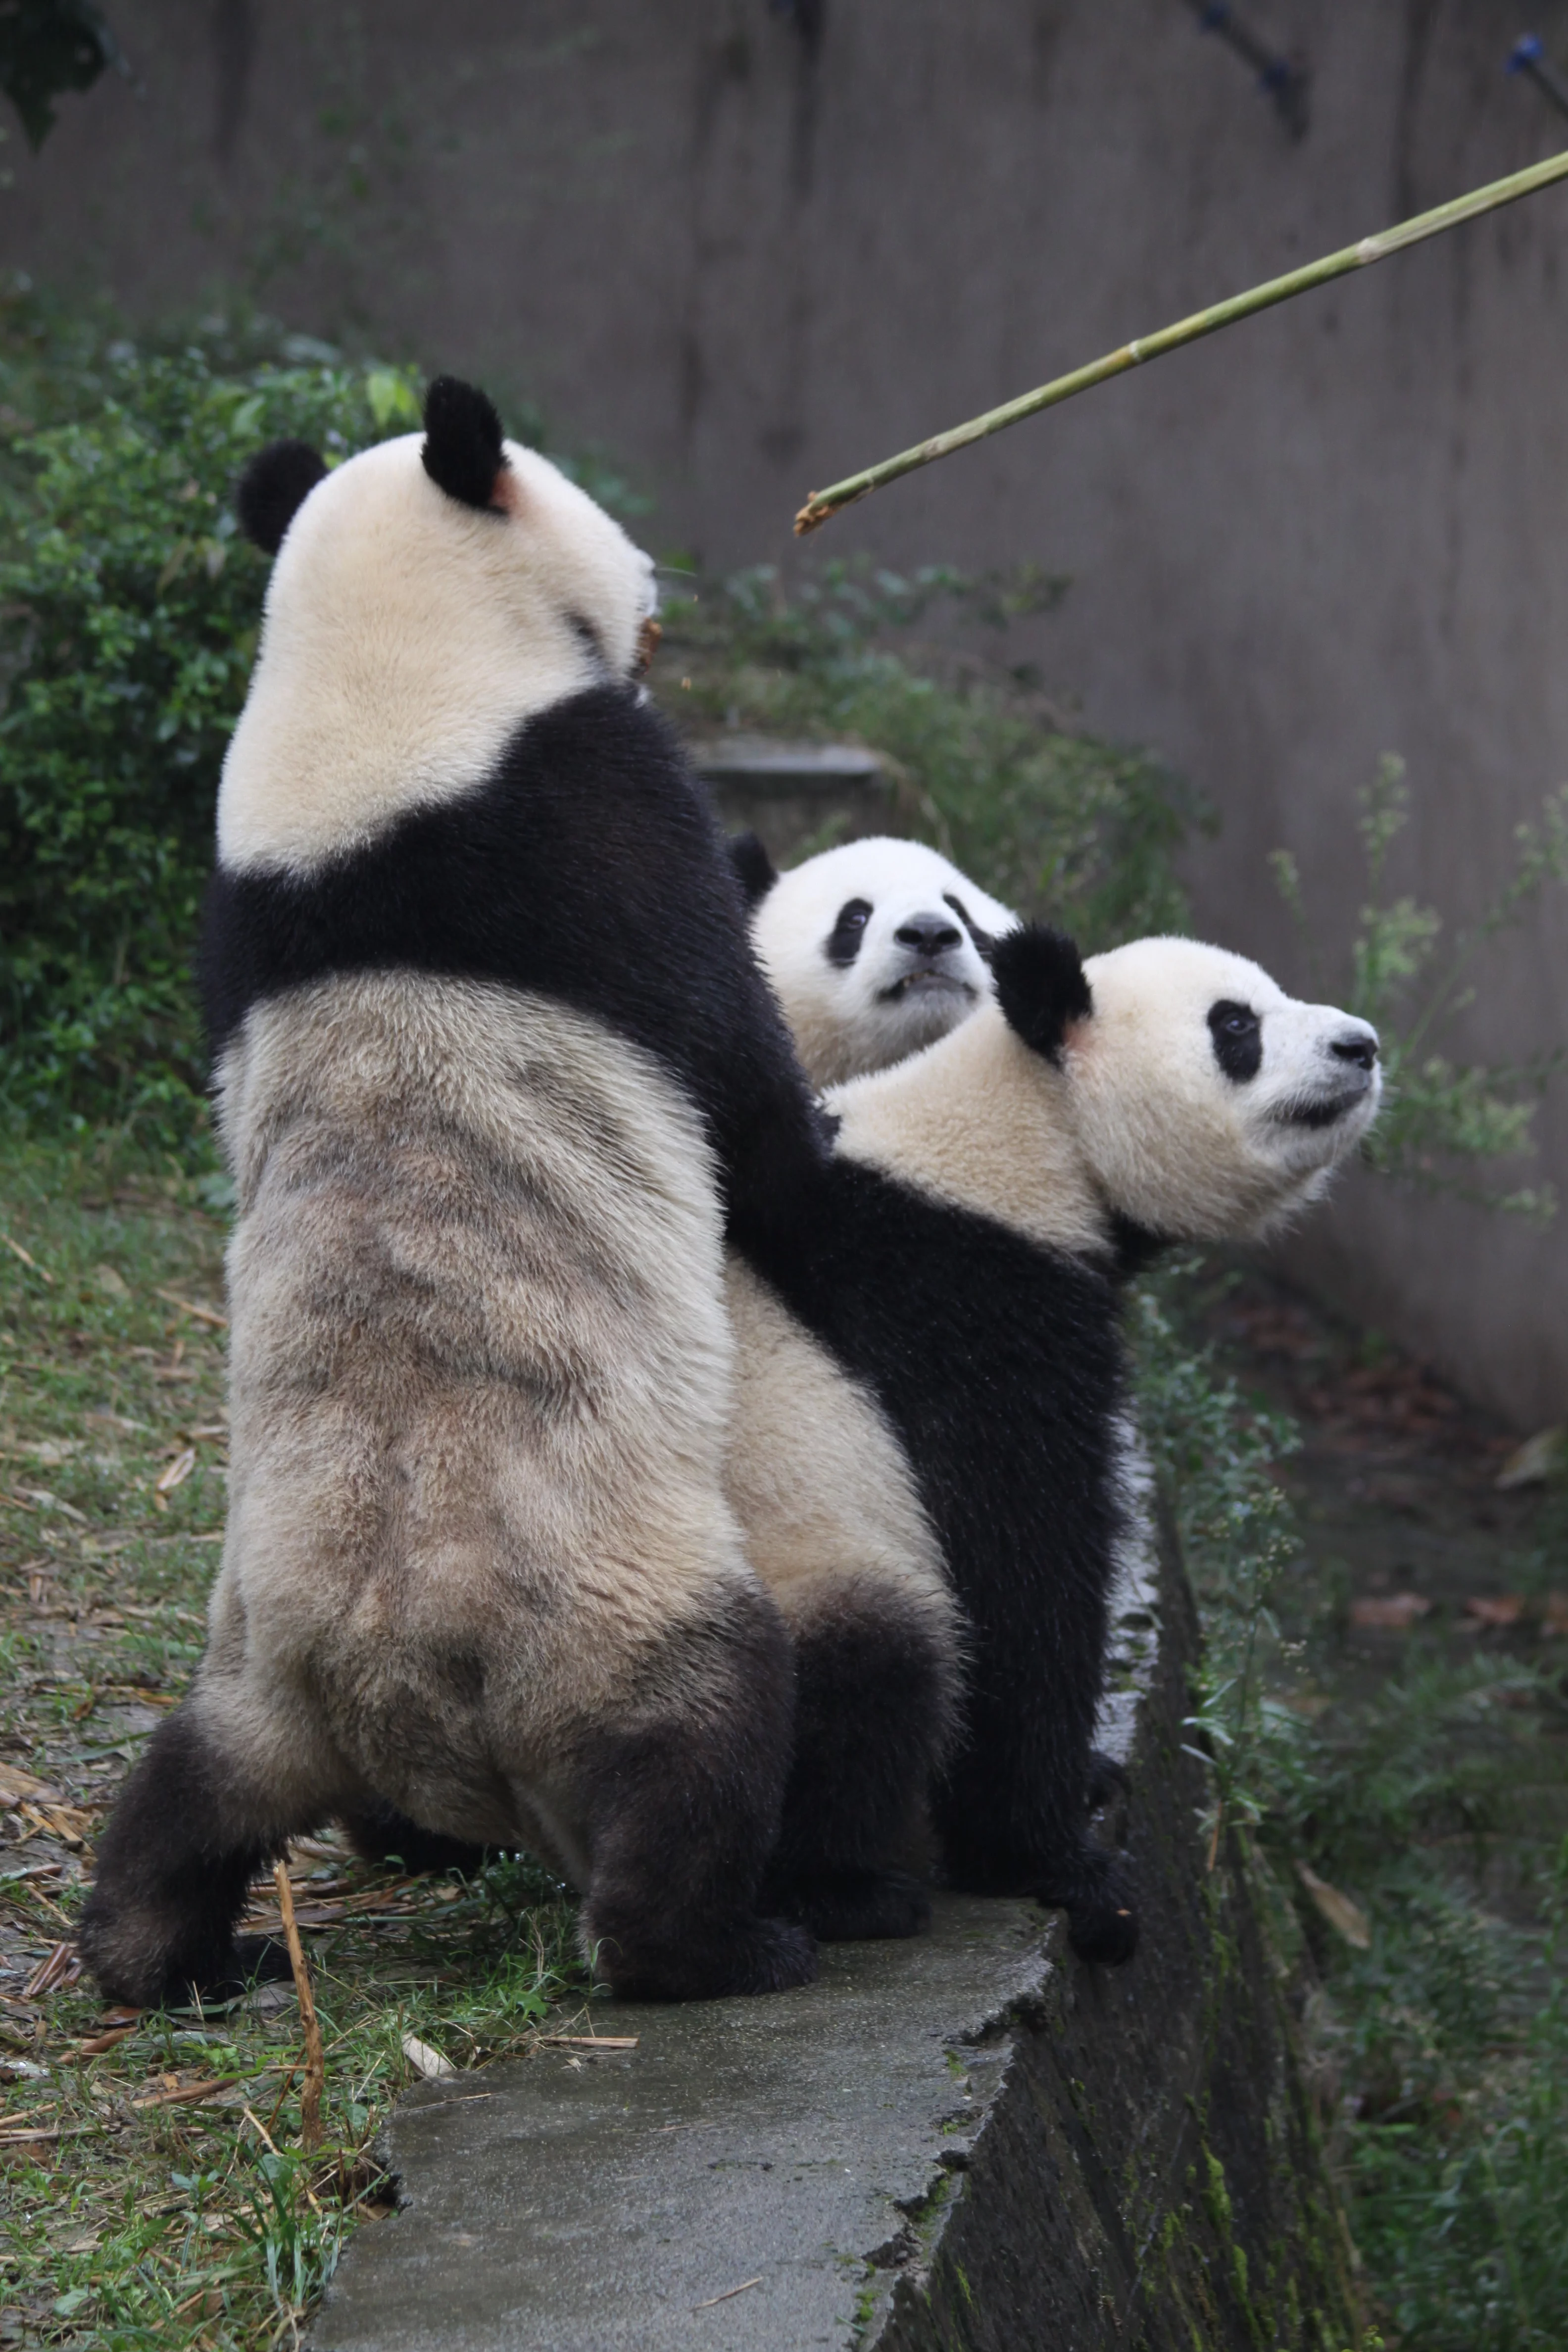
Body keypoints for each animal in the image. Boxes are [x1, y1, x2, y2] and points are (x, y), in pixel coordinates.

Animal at [78, 377, 834, 2012]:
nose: (661, 595)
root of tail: (405, 1684)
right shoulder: (594, 811)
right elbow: (741, 1089)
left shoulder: (239, 905)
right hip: (609, 1596)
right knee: (707, 1734)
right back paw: (721, 1940)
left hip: (257, 1653)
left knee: (187, 1788)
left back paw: (161, 1946)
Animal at [726, 925, 1381, 1963]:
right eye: (1234, 1026)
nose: (1359, 1046)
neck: (1023, 1132)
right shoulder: (961, 1309)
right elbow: (1019, 1573)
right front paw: (1062, 1868)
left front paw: (1090, 1784)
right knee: (871, 1665)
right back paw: (842, 1890)